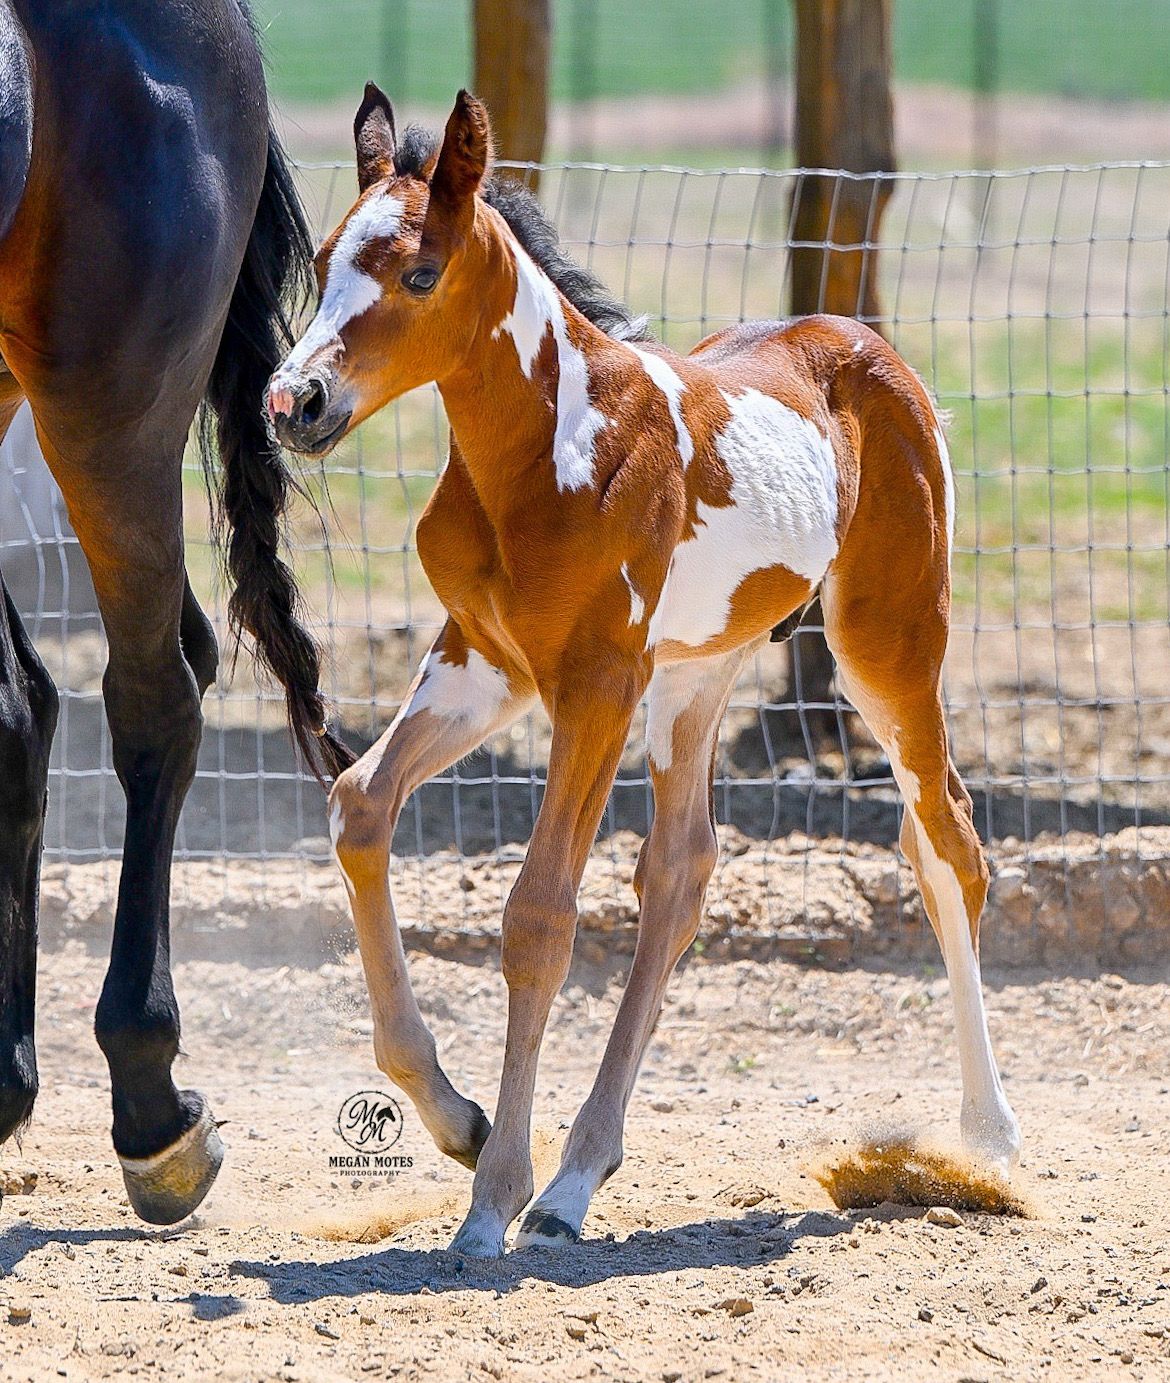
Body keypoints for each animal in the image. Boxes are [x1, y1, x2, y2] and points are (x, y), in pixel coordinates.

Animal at [268, 85, 1023, 1259]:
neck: (547, 450)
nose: (293, 403)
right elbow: (359, 804)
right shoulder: (486, 660)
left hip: (887, 646)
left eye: (420, 273)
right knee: (681, 870)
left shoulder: (595, 685)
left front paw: (490, 1202)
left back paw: (984, 1139)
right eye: (326, 262)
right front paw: (460, 1123)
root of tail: (867, 345)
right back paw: (579, 1179)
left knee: (946, 838)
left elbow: (540, 915)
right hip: (697, 677)